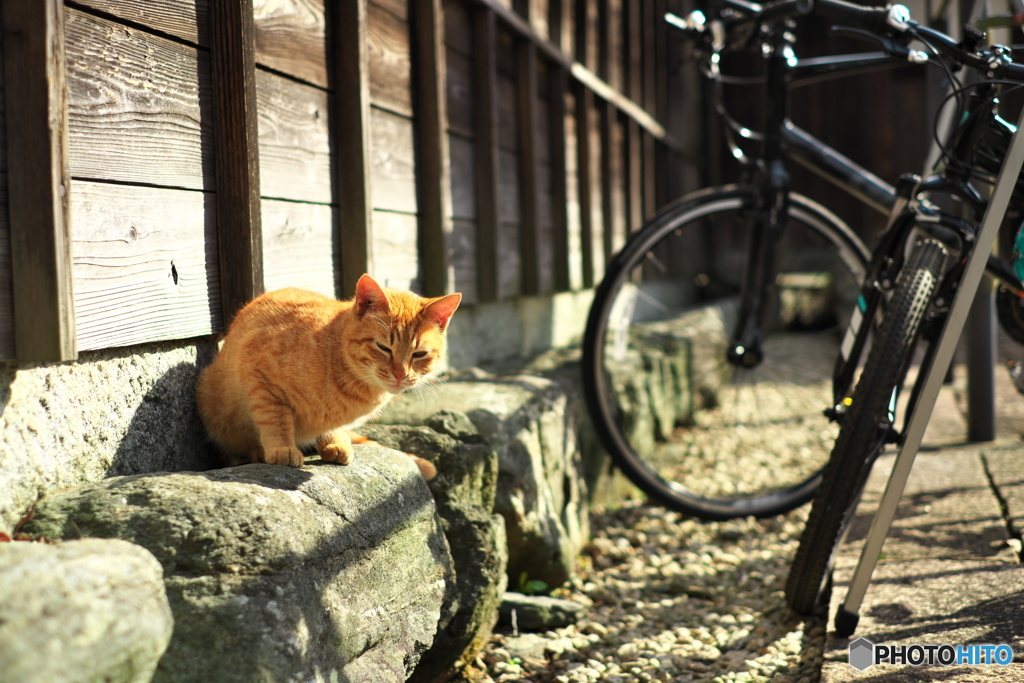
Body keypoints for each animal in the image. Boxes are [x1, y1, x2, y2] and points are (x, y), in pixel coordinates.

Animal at [195, 274, 460, 479]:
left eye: (419, 354)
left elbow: (331, 428)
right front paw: (282, 447)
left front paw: (335, 440)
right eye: (384, 348)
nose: (400, 374)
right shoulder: (259, 375)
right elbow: (275, 419)